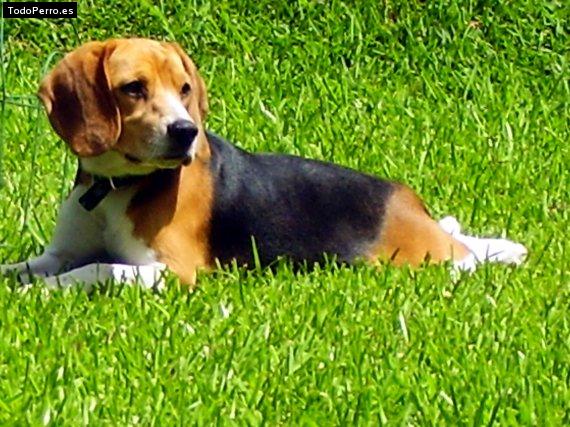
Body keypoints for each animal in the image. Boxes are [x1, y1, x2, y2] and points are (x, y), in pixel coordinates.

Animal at [0, 38, 528, 290]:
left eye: (184, 89)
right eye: (133, 88)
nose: (185, 132)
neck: (116, 188)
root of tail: (403, 195)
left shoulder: (175, 270)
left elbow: (96, 269)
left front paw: (44, 291)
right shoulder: (57, 253)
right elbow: (28, 267)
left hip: (414, 257)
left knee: (462, 255)